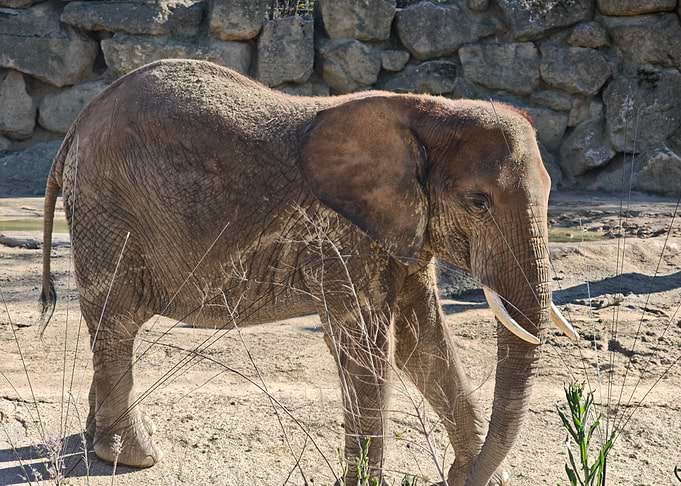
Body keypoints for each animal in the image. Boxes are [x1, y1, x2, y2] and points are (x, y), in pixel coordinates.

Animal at [39, 59, 577, 486]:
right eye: (479, 202)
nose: (461, 479)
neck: (426, 113)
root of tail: (75, 127)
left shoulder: (400, 229)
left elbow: (423, 342)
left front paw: (480, 479)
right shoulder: (343, 235)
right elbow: (367, 348)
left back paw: (93, 443)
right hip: (108, 213)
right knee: (117, 323)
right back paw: (131, 457)